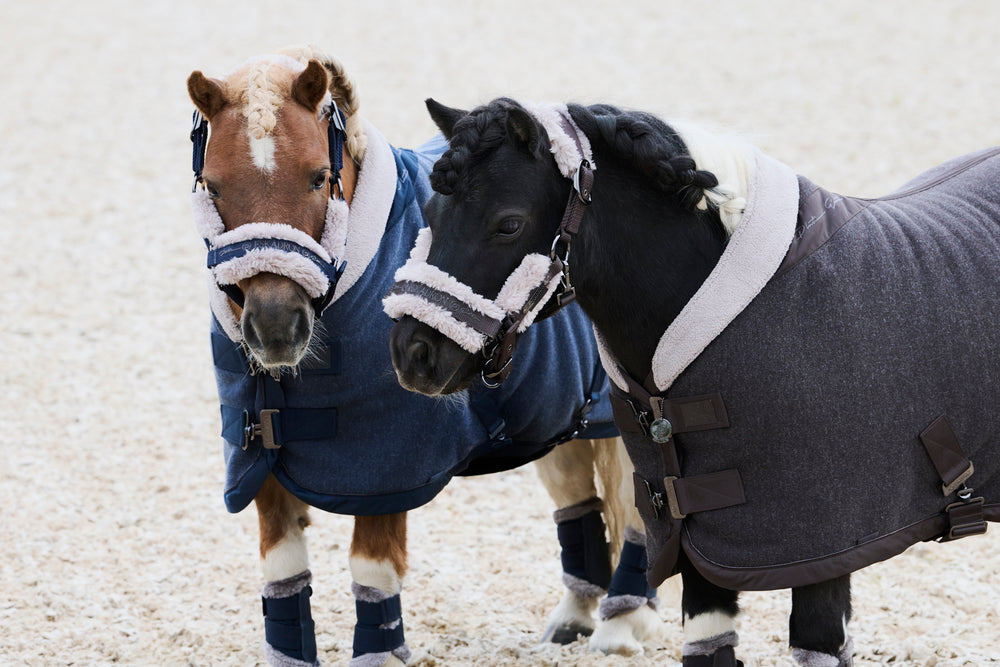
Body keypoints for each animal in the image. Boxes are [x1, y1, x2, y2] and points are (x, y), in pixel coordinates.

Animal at [186, 48, 664, 667]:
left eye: (318, 177)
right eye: (215, 187)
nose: (274, 326)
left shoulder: (388, 471)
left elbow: (372, 570)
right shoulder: (262, 468)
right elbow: (283, 575)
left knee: (635, 505)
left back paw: (622, 623)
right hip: (557, 419)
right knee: (577, 499)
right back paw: (575, 618)